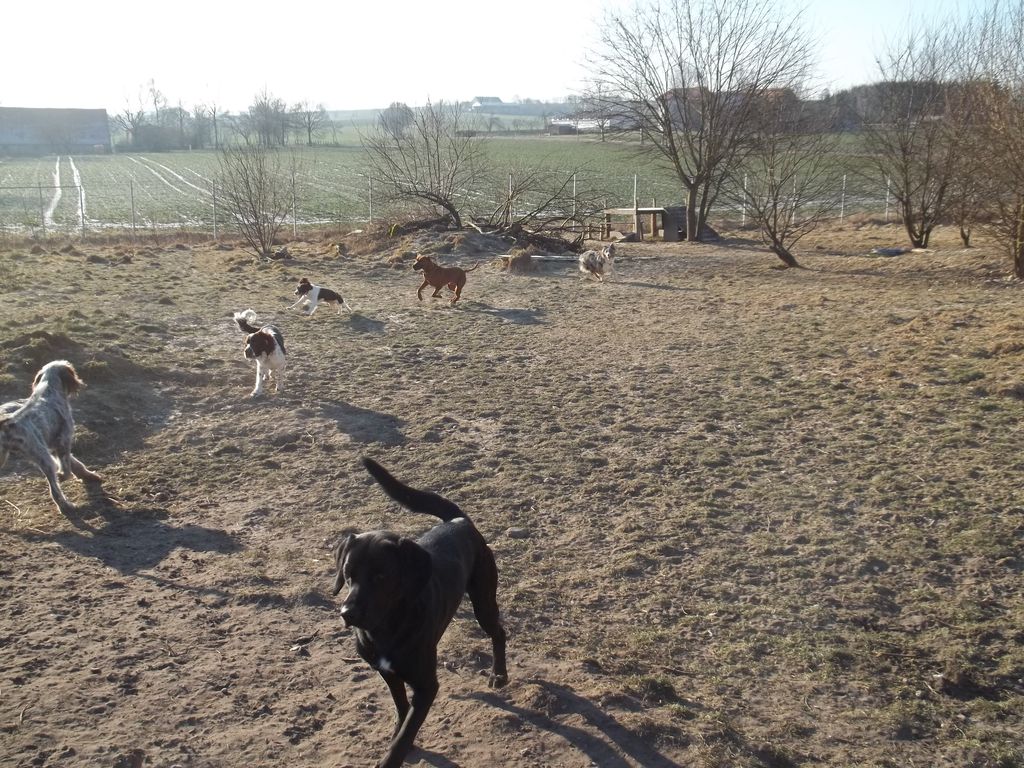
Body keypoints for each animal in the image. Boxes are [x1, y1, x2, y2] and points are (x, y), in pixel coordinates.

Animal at [0, 360, 102, 514]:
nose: (81, 382)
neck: (48, 390)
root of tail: (6, 421)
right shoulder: (63, 441)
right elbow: (67, 469)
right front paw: (63, 475)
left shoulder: (54, 446)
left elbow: (75, 464)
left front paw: (89, 475)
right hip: (43, 456)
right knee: (54, 489)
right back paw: (66, 505)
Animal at [332, 458, 508, 768]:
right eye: (348, 574)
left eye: (381, 576)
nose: (347, 613)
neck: (386, 630)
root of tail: (459, 521)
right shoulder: (387, 673)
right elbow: (402, 709)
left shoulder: (427, 687)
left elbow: (406, 732)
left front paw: (393, 757)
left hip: (484, 602)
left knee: (499, 632)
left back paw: (499, 674)